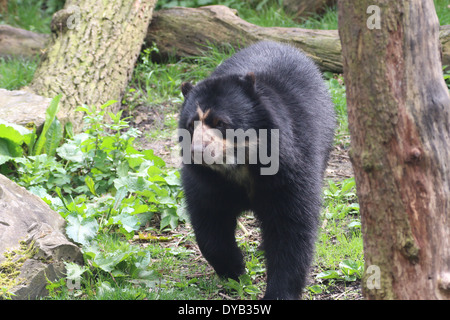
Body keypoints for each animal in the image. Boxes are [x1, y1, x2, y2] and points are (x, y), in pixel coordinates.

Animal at [178, 40, 336, 300]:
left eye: (220, 123)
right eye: (191, 125)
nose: (198, 150)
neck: (239, 165)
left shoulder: (291, 169)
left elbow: (290, 228)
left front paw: (279, 292)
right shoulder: (207, 181)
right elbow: (209, 218)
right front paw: (235, 271)